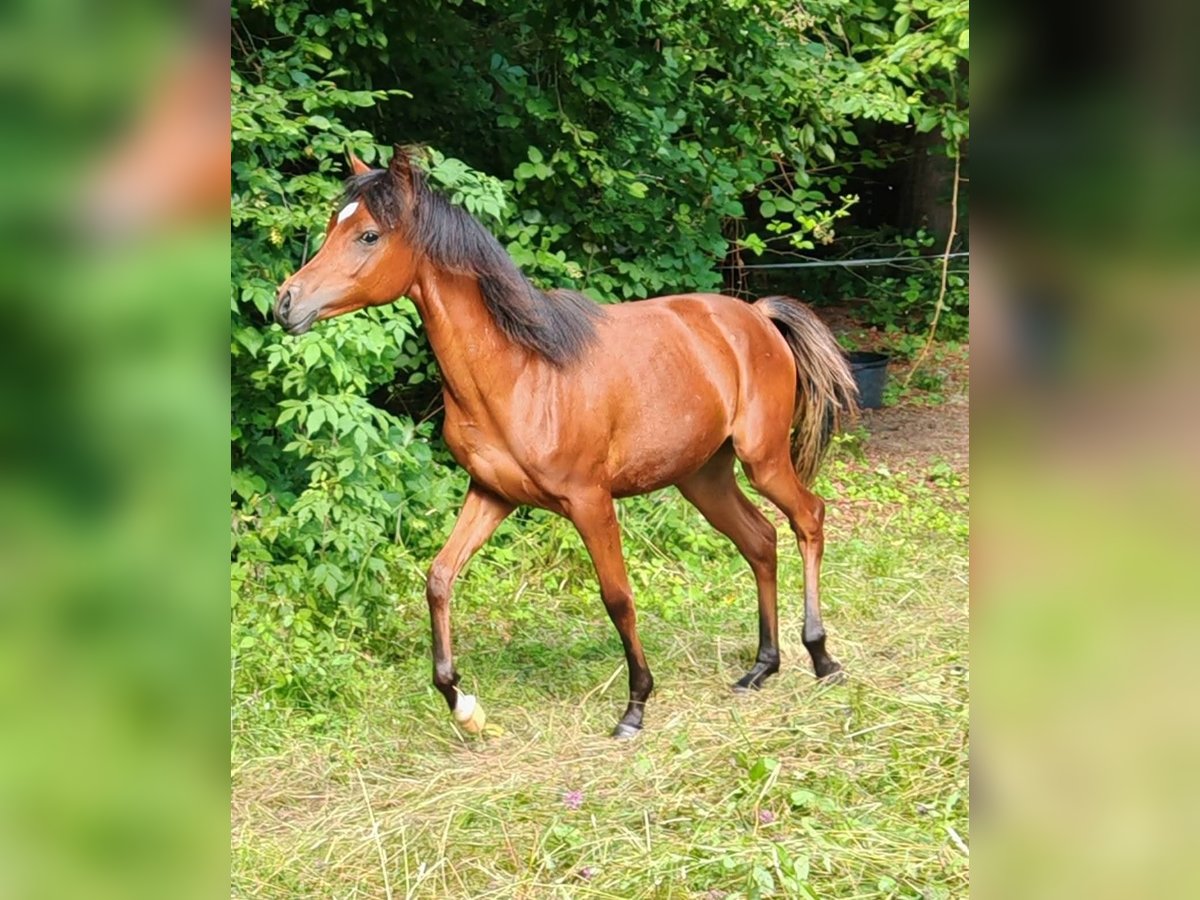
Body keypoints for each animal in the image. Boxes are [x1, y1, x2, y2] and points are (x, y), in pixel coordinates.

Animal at [274, 146, 857, 739]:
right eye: (333, 224)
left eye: (368, 235)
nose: (286, 302)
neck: (522, 372)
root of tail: (756, 315)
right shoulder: (491, 493)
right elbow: (439, 578)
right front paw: (463, 705)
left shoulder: (589, 501)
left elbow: (617, 596)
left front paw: (635, 707)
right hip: (703, 476)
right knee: (760, 540)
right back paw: (761, 667)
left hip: (763, 459)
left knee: (808, 518)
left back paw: (821, 657)